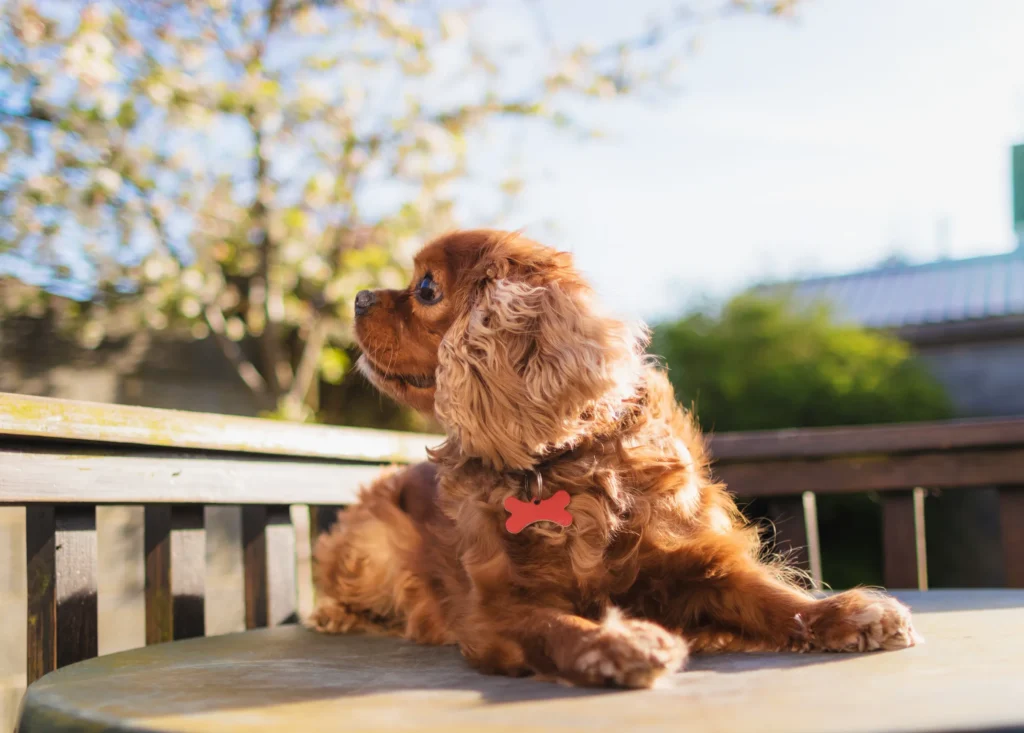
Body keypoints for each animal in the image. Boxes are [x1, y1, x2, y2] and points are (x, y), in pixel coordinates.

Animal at [309, 227, 921, 687]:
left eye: (427, 288)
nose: (358, 296)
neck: (562, 461)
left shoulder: (700, 563)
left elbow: (770, 595)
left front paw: (850, 613)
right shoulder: (494, 610)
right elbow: (558, 627)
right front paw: (617, 643)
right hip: (369, 547)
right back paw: (335, 614)